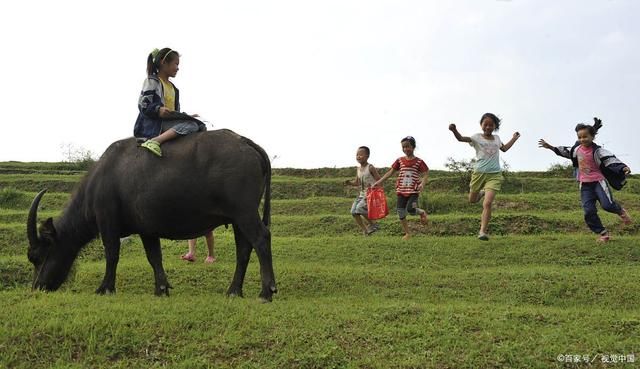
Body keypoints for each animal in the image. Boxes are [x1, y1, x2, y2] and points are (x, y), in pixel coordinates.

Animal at [27, 128, 278, 300]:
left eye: (37, 256)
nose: (37, 287)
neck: (100, 180)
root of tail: (245, 142)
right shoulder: (146, 229)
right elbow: (154, 257)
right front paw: (161, 288)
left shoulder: (107, 221)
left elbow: (112, 253)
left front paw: (105, 288)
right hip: (237, 218)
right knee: (244, 248)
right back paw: (234, 290)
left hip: (245, 212)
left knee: (261, 238)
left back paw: (266, 291)